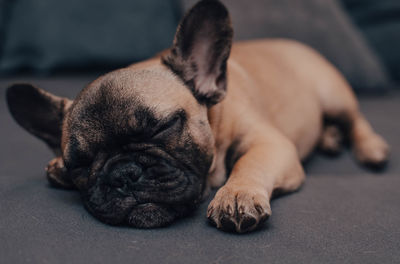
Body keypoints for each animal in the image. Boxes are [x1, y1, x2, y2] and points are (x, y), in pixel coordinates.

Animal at [5, 0, 388, 233]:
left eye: (163, 127)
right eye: (80, 165)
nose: (124, 174)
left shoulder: (269, 143)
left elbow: (248, 163)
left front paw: (236, 195)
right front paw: (56, 168)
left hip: (333, 94)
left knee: (355, 119)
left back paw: (370, 148)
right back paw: (331, 138)